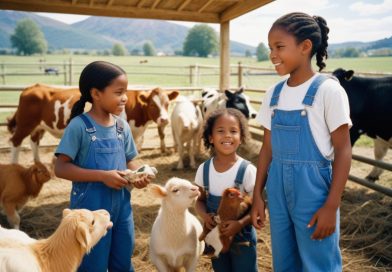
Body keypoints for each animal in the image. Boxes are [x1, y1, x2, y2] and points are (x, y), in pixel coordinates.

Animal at [6, 84, 178, 163]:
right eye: (152, 105)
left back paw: (38, 163)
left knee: (34, 141)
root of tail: (33, 87)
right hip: (25, 123)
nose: (164, 120)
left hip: (38, 126)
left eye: (167, 103)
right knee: (16, 141)